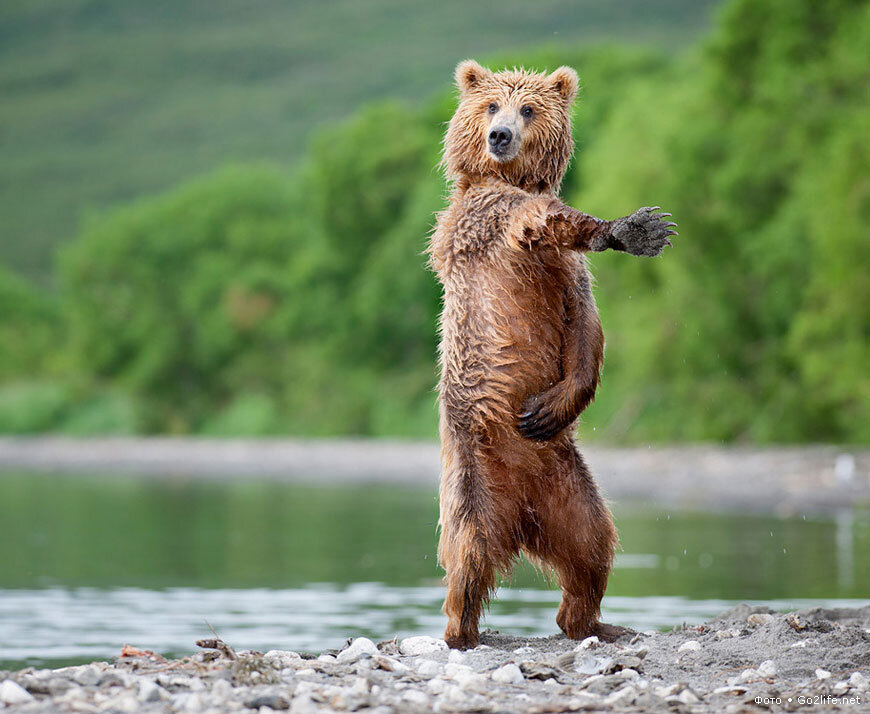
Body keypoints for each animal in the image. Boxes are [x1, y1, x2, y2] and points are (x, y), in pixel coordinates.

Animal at [430, 62, 680, 652]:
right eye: (491, 105)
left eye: (528, 109)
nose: (500, 137)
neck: (507, 178)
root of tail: (521, 517)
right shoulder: (494, 220)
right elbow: (544, 219)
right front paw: (629, 228)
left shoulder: (568, 277)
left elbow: (586, 329)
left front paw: (550, 406)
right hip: (473, 476)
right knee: (468, 552)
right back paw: (461, 630)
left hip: (568, 482)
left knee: (593, 545)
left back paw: (592, 622)